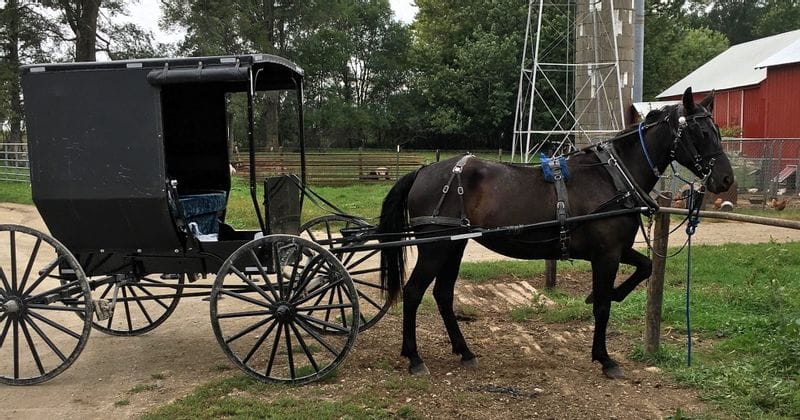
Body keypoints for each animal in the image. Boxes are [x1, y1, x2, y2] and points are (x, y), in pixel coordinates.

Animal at [376, 87, 734, 379]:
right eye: (701, 131)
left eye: (717, 130)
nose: (726, 179)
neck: (612, 178)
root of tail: (423, 171)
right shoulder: (606, 255)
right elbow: (602, 306)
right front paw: (605, 358)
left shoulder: (616, 249)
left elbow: (644, 268)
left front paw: (611, 296)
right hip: (435, 249)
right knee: (413, 293)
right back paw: (414, 357)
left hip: (454, 247)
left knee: (443, 295)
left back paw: (464, 352)